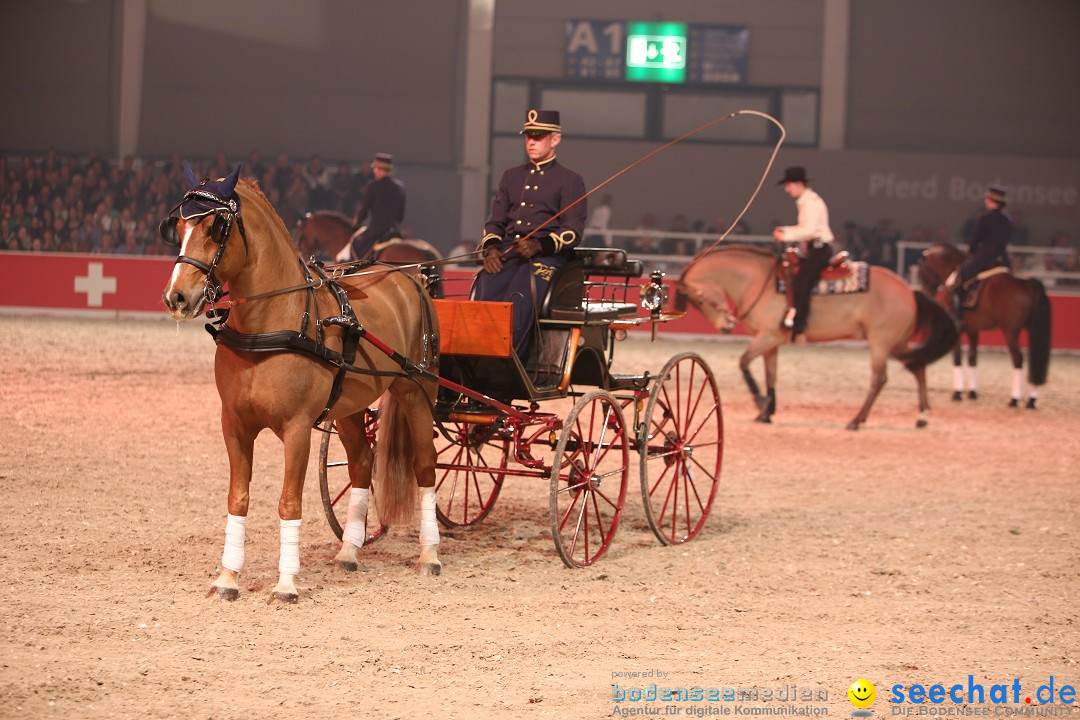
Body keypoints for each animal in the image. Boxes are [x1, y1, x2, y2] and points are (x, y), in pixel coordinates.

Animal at [678, 245, 959, 431]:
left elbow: (744, 362)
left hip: (881, 342)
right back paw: (922, 416)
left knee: (880, 378)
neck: (758, 281)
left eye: (699, 299)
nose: (725, 326)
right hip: (897, 343)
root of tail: (909, 290)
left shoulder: (768, 336)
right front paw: (767, 412)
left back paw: (856, 420)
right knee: (918, 367)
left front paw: (760, 403)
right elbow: (771, 375)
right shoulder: (771, 342)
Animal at [915, 243, 1049, 408]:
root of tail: (1027, 283)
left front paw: (957, 393)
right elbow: (972, 357)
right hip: (1032, 331)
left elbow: (957, 357)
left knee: (1018, 359)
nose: (925, 293)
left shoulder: (957, 329)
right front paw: (972, 392)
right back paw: (1031, 400)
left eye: (922, 269)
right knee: (1035, 361)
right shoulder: (973, 330)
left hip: (1011, 332)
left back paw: (1014, 399)